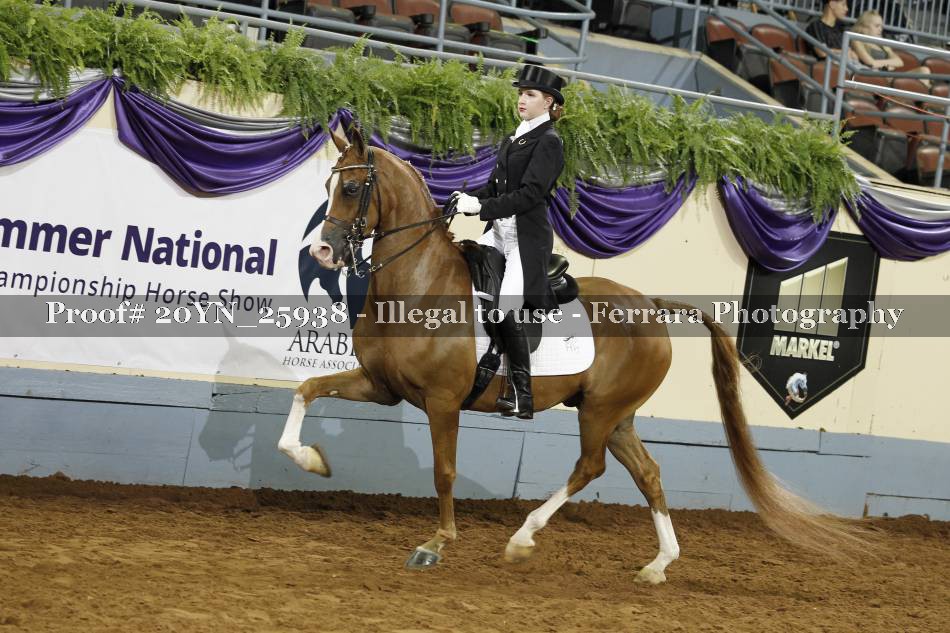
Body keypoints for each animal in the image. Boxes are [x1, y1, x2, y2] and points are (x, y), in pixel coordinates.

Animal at [277, 126, 862, 582]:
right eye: (329, 185)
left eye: (353, 186)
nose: (322, 251)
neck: (420, 283)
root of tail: (650, 305)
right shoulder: (382, 386)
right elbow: (306, 389)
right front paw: (311, 460)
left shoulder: (442, 402)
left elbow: (444, 471)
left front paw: (436, 543)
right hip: (617, 414)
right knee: (647, 473)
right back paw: (658, 564)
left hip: (601, 410)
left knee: (590, 466)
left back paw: (523, 537)